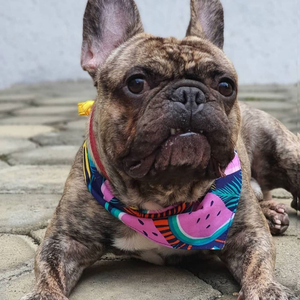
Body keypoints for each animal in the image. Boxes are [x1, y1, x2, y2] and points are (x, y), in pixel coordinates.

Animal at [20, 0, 298, 300]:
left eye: (226, 85)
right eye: (136, 83)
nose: (190, 94)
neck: (162, 198)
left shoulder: (247, 233)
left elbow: (259, 262)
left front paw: (267, 290)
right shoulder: (66, 239)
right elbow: (48, 267)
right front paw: (44, 294)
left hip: (284, 151)